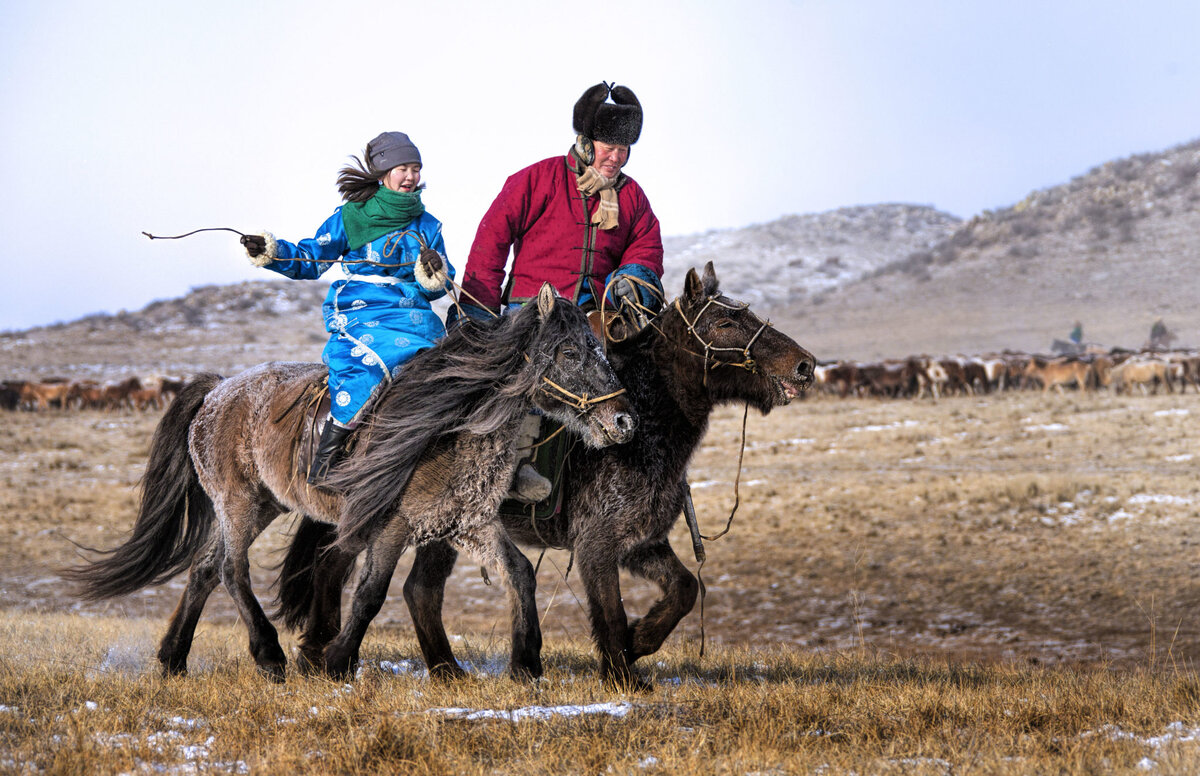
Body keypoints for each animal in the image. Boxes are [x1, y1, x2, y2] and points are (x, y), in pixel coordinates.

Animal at [68, 285, 638, 681]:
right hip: (238, 502)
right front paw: (336, 661)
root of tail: (215, 392)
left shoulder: (468, 523)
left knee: (206, 569)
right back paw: (268, 654)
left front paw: (526, 663)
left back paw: (173, 659)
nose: (624, 422)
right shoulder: (394, 525)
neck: (451, 429)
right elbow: (370, 594)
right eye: (570, 353)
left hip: (265, 505)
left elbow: (519, 573)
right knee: (230, 569)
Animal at [276, 263, 816, 690]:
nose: (805, 365)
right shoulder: (597, 544)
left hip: (443, 527)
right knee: (347, 568)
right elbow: (610, 610)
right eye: (725, 320)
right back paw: (326, 655)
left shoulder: (640, 543)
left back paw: (441, 669)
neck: (645, 427)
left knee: (415, 590)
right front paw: (623, 673)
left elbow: (683, 589)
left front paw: (640, 641)